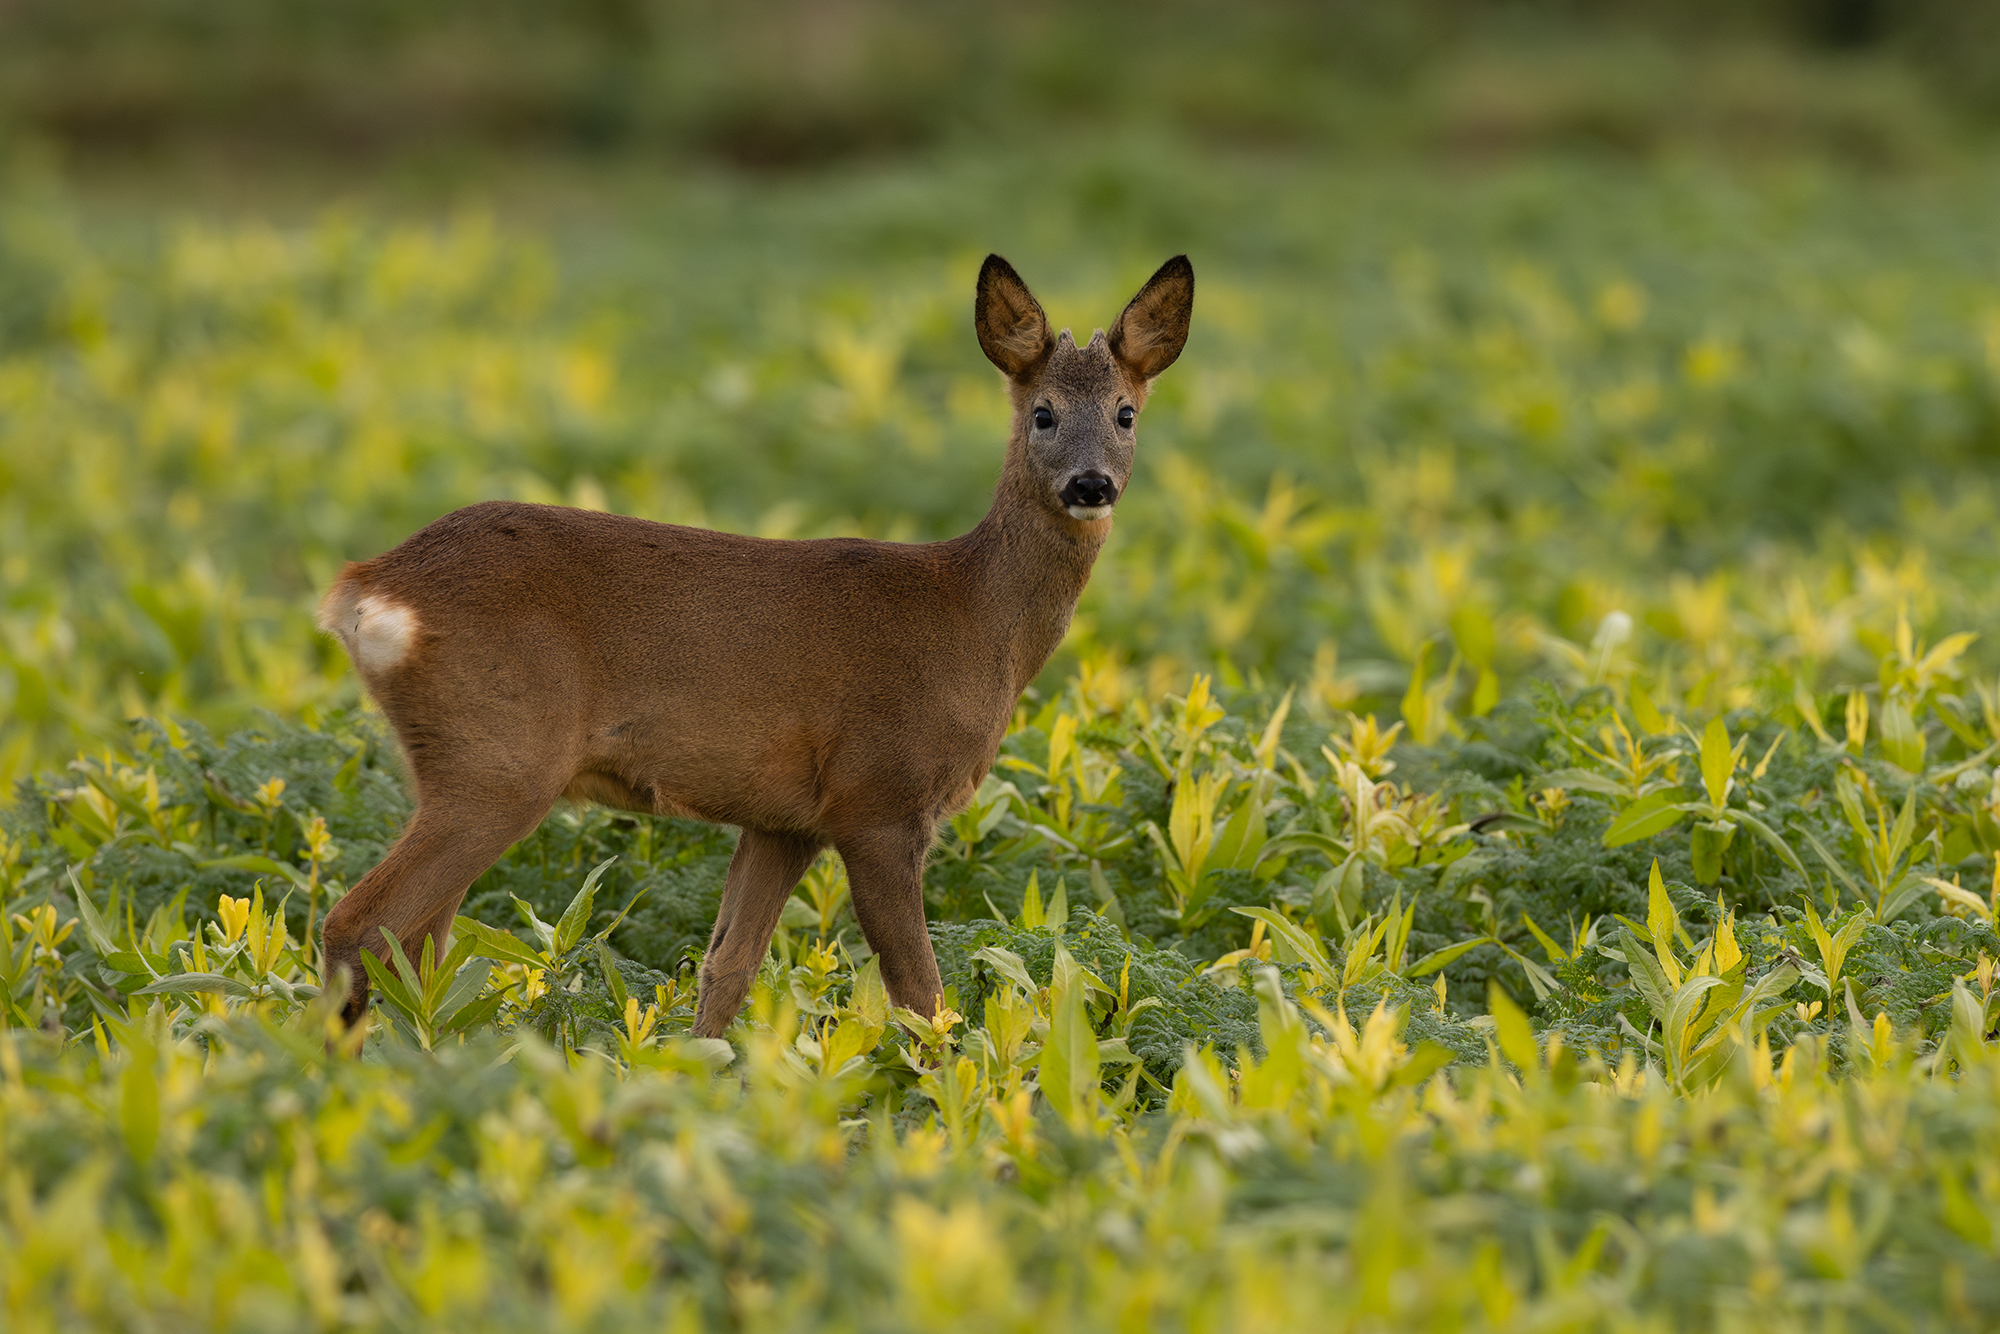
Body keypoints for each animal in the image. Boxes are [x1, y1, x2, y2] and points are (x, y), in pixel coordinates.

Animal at [312, 256, 1184, 1040]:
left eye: (1124, 413)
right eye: (1042, 412)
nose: (1091, 485)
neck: (970, 618)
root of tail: (365, 586)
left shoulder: (784, 819)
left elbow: (727, 966)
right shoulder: (879, 797)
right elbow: (922, 998)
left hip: (460, 765)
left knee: (419, 945)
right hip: (499, 758)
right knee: (357, 924)